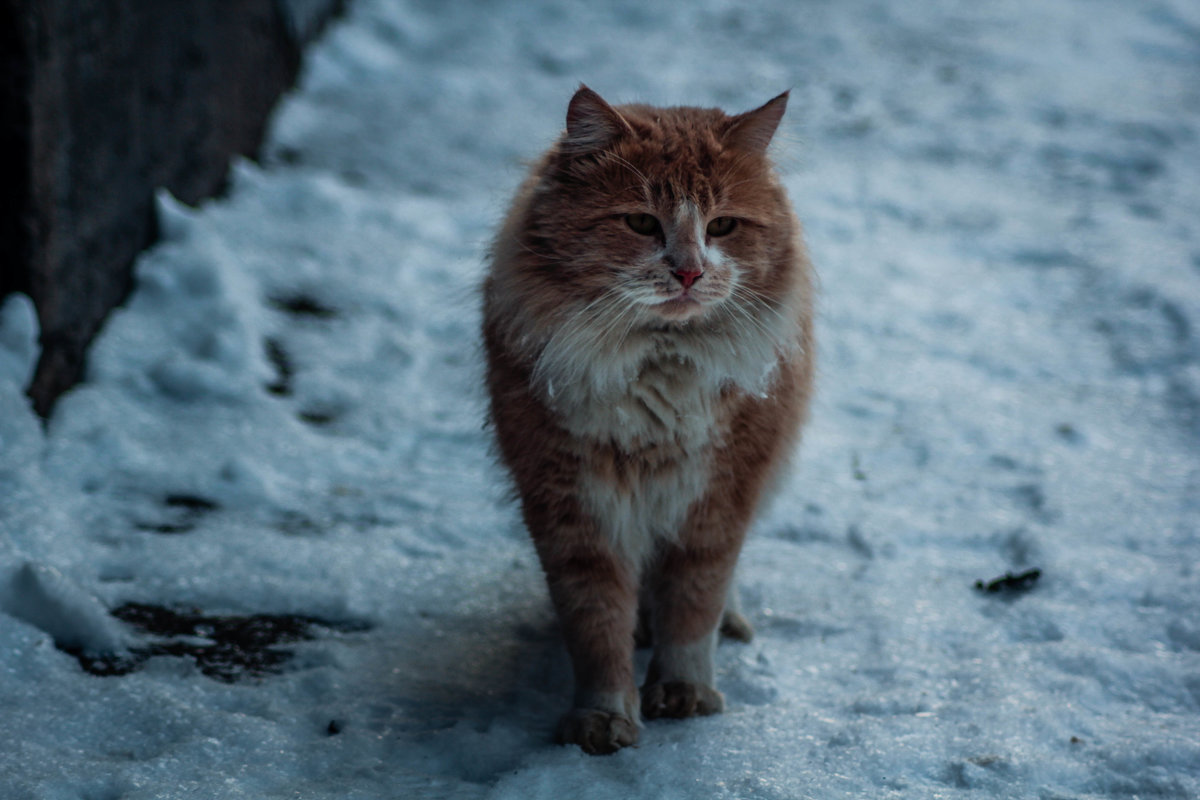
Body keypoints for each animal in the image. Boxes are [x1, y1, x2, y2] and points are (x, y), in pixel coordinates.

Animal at [480, 87, 816, 758]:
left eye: (722, 226)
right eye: (640, 223)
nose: (688, 272)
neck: (659, 363)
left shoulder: (719, 496)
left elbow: (693, 603)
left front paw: (684, 693)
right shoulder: (575, 507)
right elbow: (596, 625)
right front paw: (604, 719)